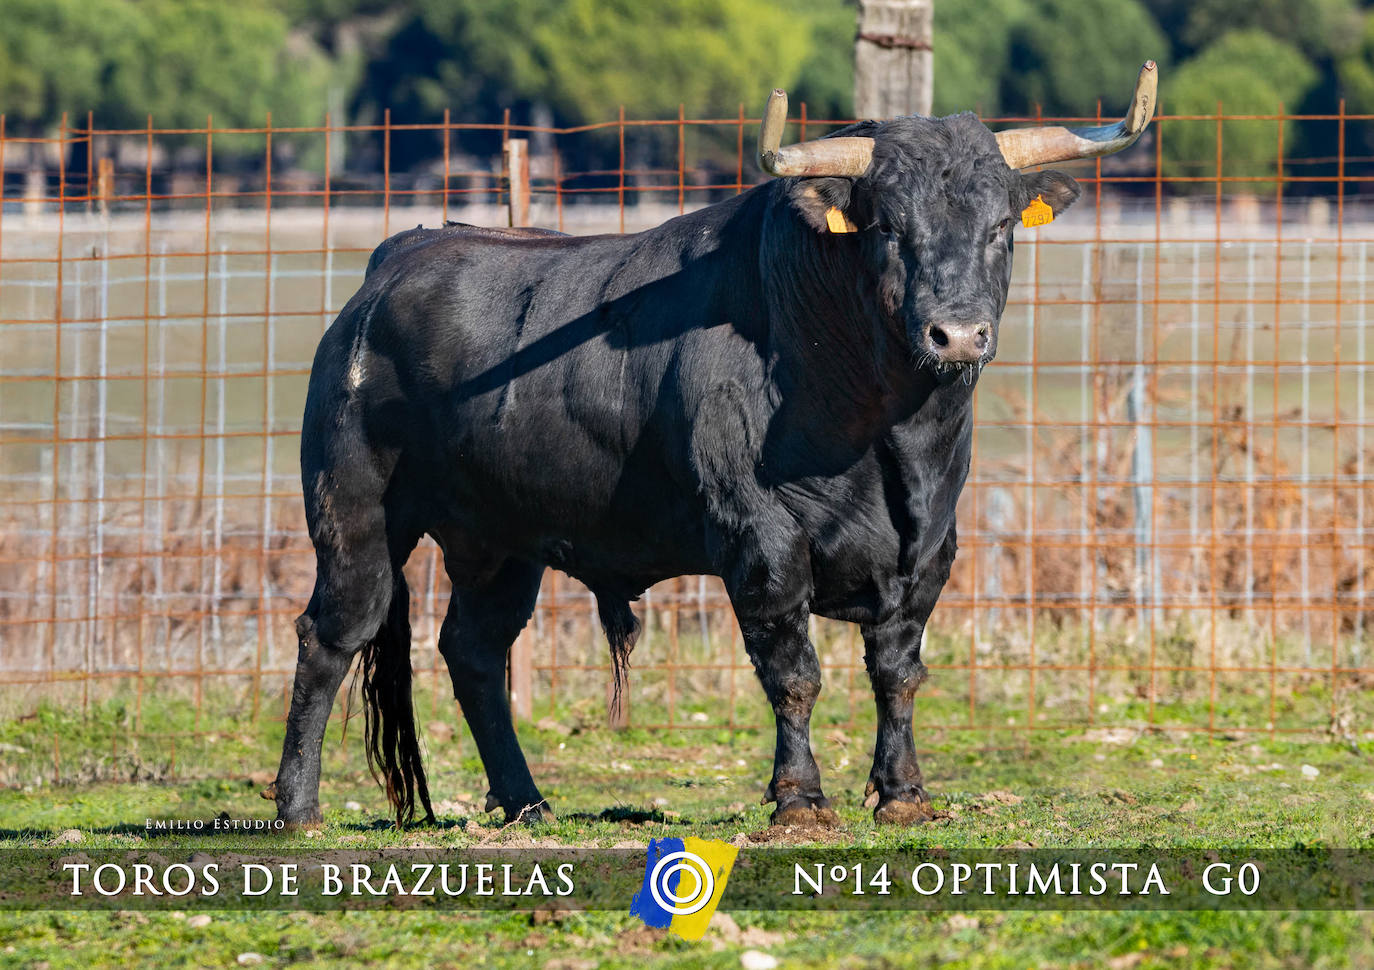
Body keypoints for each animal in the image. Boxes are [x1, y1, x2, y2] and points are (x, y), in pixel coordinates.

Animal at [270, 94, 1148, 829]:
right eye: (889, 227)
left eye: (1000, 226)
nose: (957, 334)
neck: (885, 434)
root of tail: (395, 261)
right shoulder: (762, 540)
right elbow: (793, 674)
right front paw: (800, 801)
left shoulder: (929, 549)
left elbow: (898, 674)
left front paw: (903, 795)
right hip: (356, 515)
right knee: (332, 634)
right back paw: (299, 807)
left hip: (499, 542)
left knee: (475, 652)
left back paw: (526, 803)